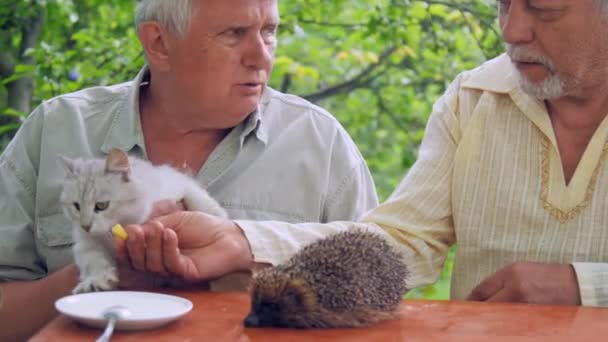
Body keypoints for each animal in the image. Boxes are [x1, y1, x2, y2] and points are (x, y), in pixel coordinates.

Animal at [59, 148, 227, 292]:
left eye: (101, 206)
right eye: (76, 206)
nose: (85, 226)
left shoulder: (179, 182)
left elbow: (199, 200)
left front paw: (218, 220)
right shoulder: (86, 244)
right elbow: (94, 262)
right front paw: (96, 282)